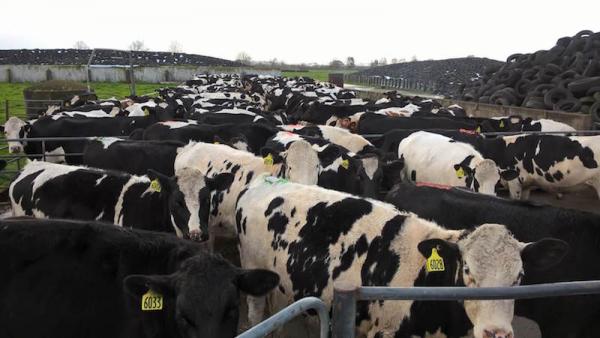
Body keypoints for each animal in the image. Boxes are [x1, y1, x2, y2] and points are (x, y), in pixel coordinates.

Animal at [183, 169, 568, 338]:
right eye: (469, 273)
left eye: (519, 278)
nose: (496, 332)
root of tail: (263, 181)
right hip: (252, 270)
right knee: (255, 310)